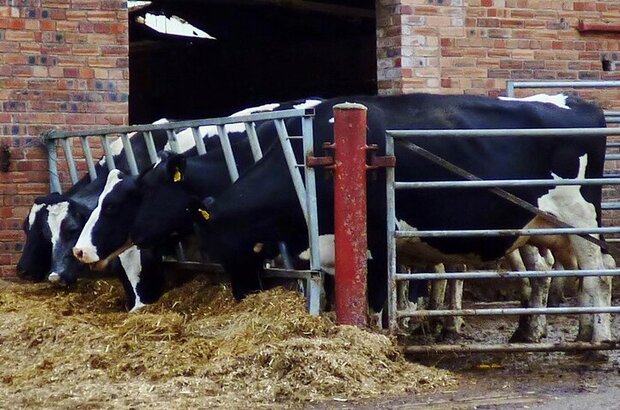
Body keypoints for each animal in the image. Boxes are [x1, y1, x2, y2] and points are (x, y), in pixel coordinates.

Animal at [182, 93, 612, 342]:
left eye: (222, 245)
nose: (243, 296)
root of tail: (581, 103)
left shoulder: (372, 243)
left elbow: (375, 302)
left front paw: (380, 339)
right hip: (550, 230)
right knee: (580, 274)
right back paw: (566, 332)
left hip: (580, 221)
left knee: (597, 275)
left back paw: (595, 342)